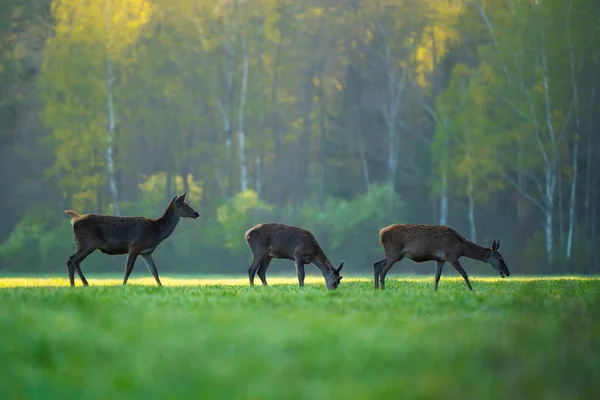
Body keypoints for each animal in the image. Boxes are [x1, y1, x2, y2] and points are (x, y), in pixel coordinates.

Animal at [65, 192, 199, 286]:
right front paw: (123, 285)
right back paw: (85, 283)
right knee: (73, 260)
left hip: (80, 244)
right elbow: (128, 268)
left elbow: (154, 271)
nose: (197, 214)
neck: (155, 231)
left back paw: (72, 285)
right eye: (186, 205)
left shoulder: (146, 252)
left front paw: (161, 287)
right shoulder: (134, 245)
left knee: (70, 260)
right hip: (88, 243)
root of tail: (75, 219)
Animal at [372, 222, 508, 290]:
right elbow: (464, 273)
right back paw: (382, 289)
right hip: (393, 252)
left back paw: (376, 289)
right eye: (500, 258)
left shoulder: (440, 259)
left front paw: (435, 291)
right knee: (383, 270)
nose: (507, 272)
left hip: (396, 254)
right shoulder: (451, 255)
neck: (461, 247)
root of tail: (381, 233)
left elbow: (437, 277)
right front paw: (471, 290)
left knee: (377, 264)